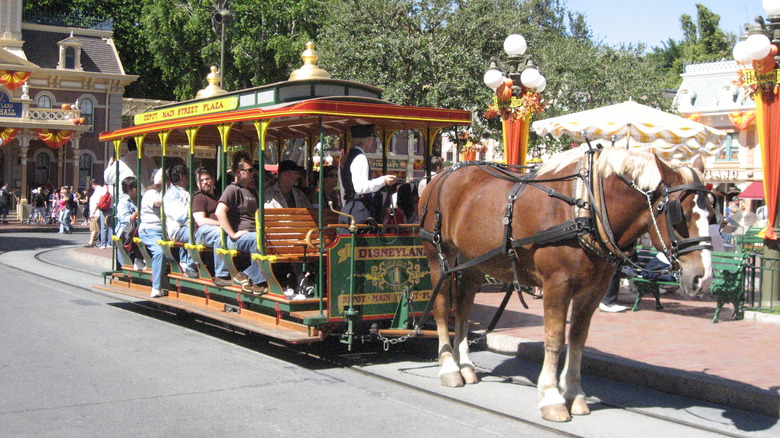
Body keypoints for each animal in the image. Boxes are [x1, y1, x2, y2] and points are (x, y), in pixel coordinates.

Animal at [420, 146, 712, 420]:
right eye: (678, 213)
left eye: (712, 210)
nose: (703, 277)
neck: (585, 208)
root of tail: (444, 173)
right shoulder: (556, 284)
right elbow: (555, 338)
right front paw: (552, 398)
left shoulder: (593, 290)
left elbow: (578, 339)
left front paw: (574, 394)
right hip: (438, 257)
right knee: (442, 307)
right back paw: (449, 368)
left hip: (472, 264)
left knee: (463, 308)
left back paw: (465, 365)